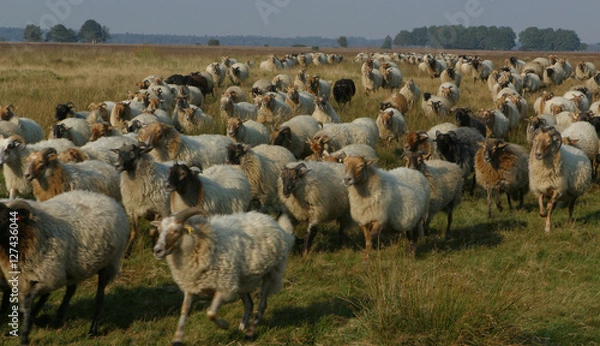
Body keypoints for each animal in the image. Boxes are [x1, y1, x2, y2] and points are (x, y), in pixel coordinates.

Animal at [0, 191, 129, 344]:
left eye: (3, 218)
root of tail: (105, 197)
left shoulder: (51, 277)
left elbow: (28, 302)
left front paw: (26, 334)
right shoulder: (25, 279)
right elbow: (25, 304)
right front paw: (32, 322)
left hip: (108, 264)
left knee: (99, 298)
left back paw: (92, 330)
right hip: (74, 268)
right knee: (71, 290)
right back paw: (58, 318)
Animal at [151, 208, 294, 344]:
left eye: (176, 230)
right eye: (160, 230)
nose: (157, 251)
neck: (199, 242)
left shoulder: (224, 287)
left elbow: (211, 313)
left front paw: (224, 325)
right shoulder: (191, 284)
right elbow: (184, 310)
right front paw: (177, 338)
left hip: (272, 273)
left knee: (262, 305)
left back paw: (251, 331)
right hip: (241, 280)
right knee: (249, 304)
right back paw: (242, 327)